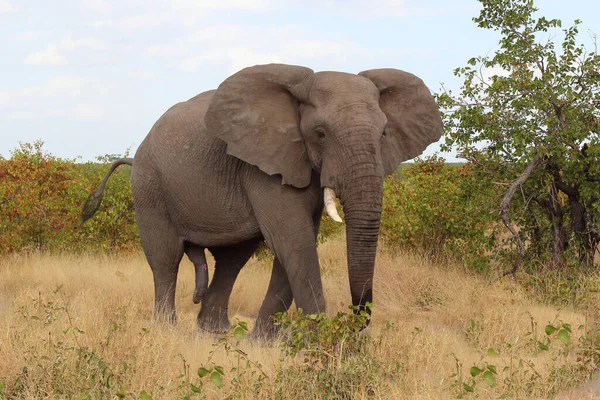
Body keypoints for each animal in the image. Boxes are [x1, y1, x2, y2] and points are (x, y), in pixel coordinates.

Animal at [82, 63, 442, 338]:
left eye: (383, 134)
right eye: (321, 133)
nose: (355, 325)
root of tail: (135, 156)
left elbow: (296, 241)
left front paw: (265, 341)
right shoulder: (264, 164)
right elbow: (293, 238)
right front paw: (320, 343)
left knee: (232, 259)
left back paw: (216, 333)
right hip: (150, 186)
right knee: (165, 259)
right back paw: (166, 331)